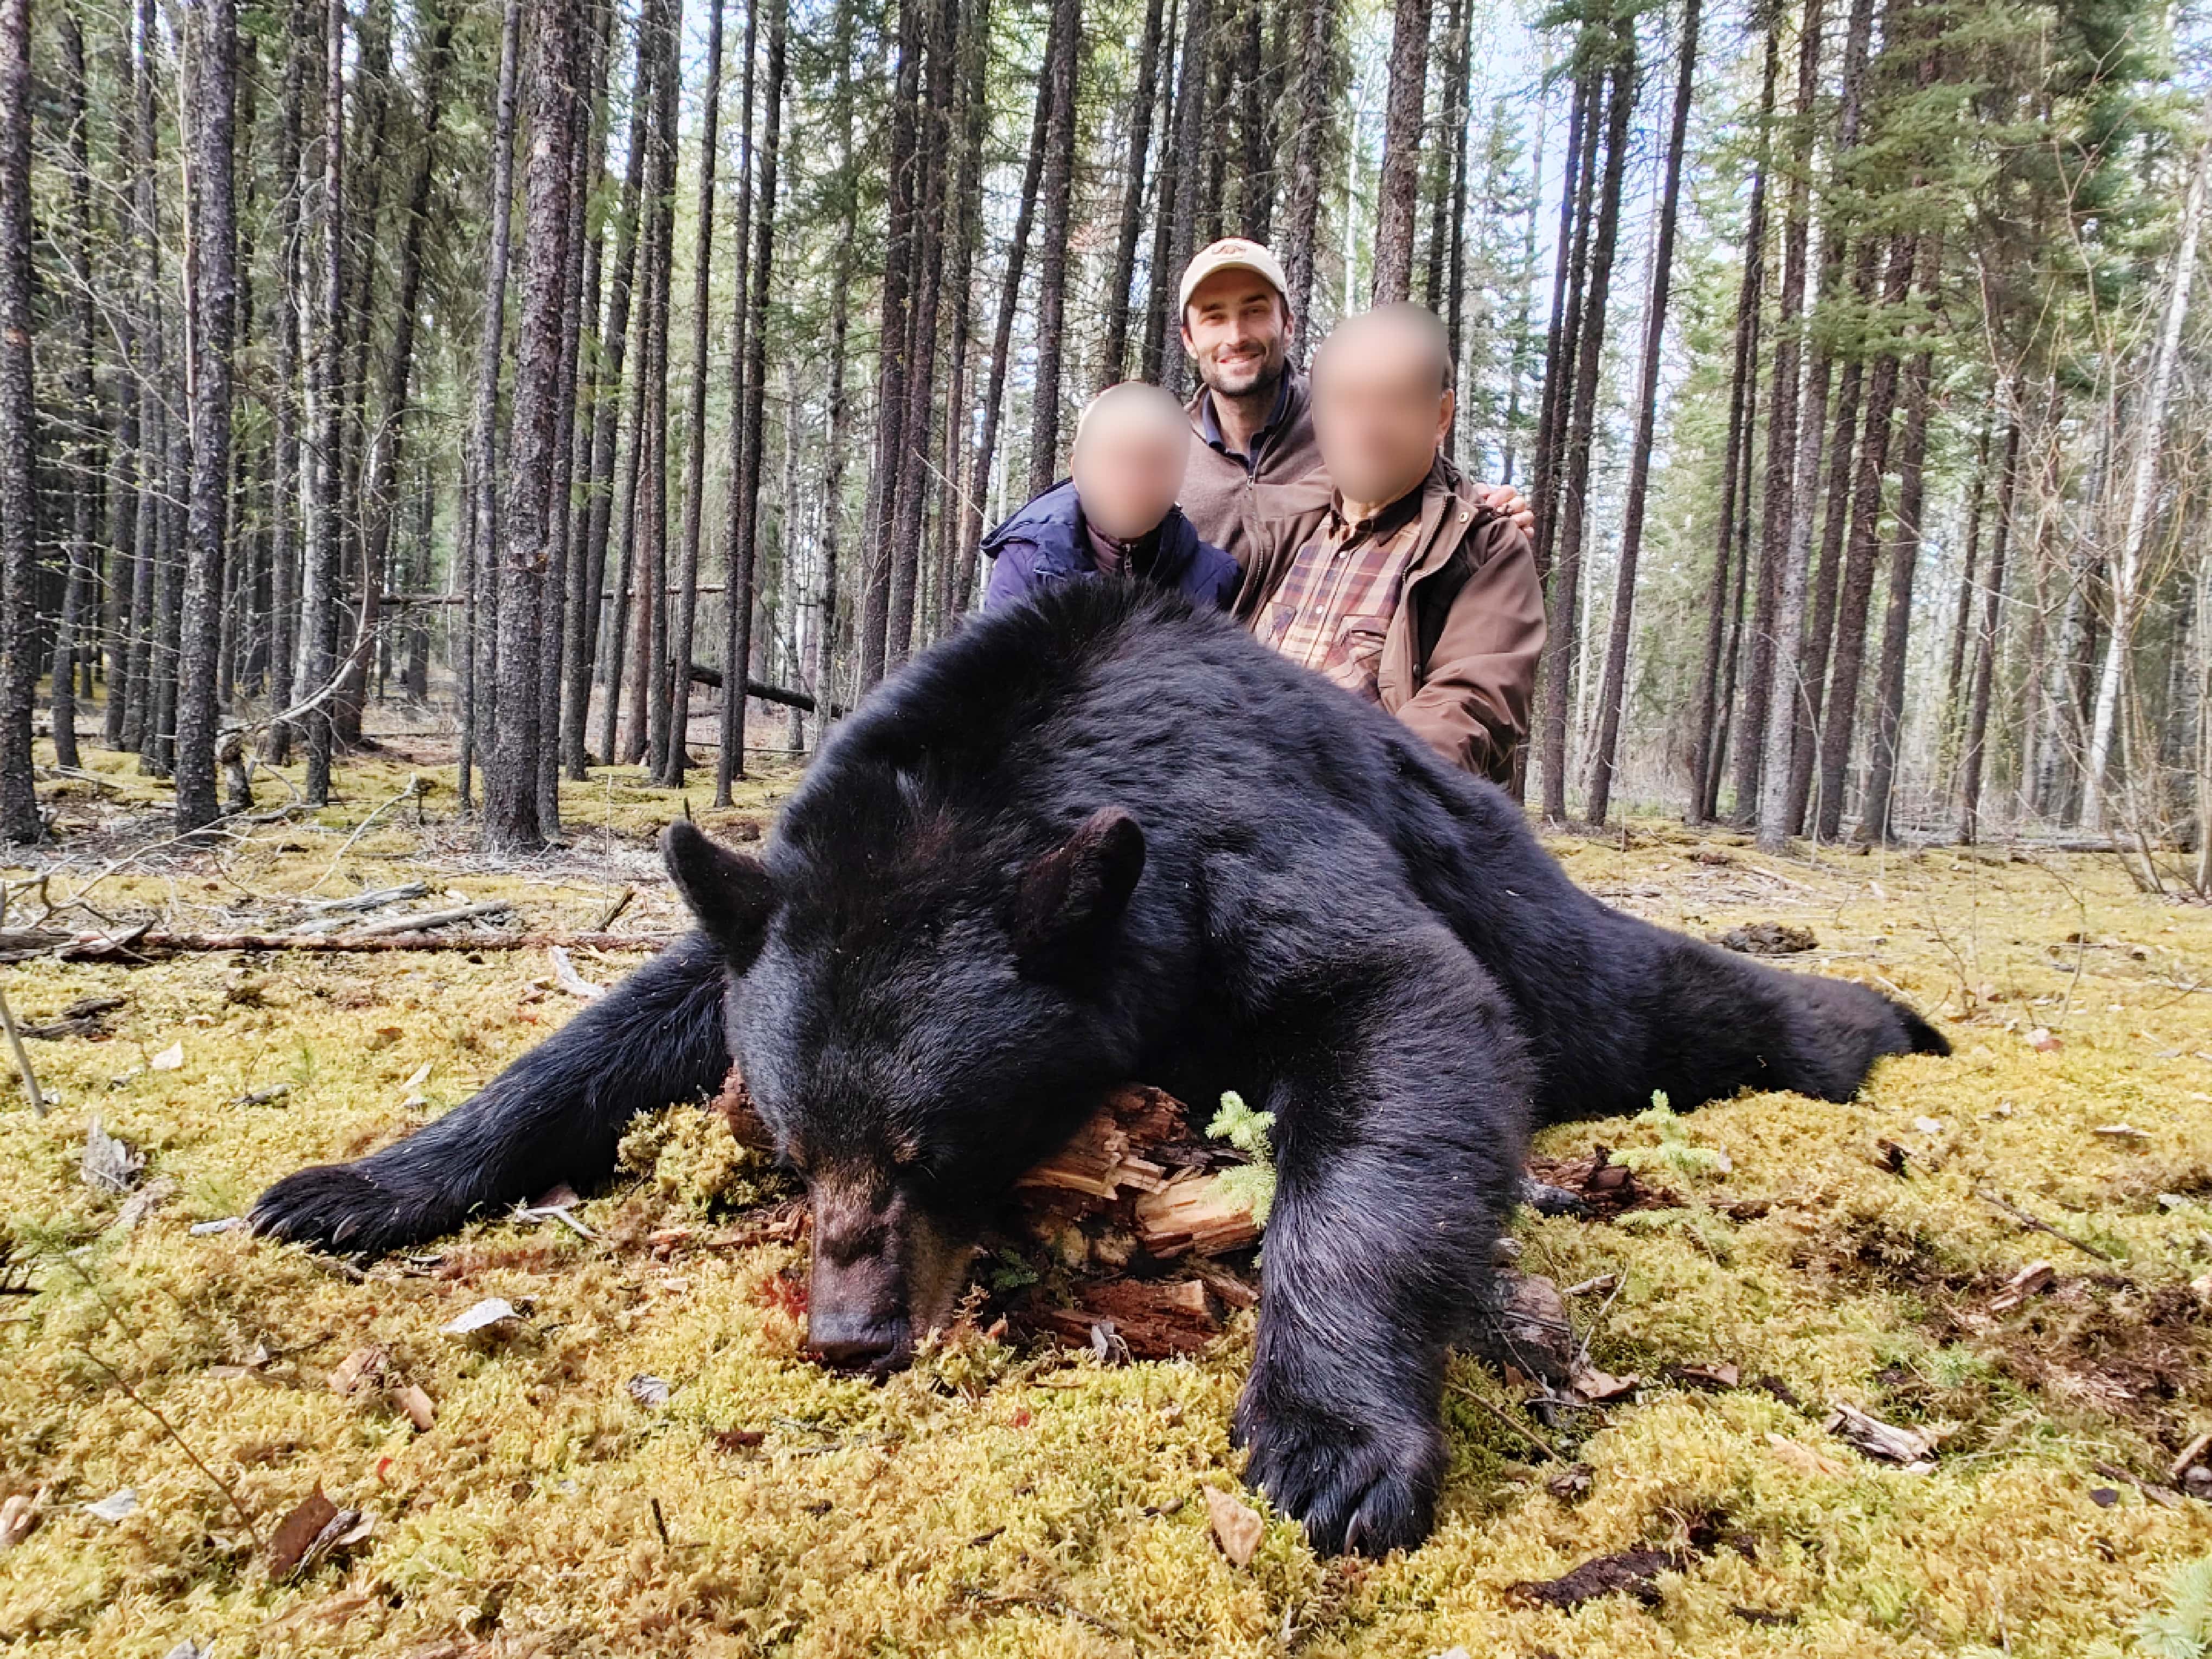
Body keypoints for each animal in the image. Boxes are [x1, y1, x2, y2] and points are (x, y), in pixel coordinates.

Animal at [253, 581, 1947, 1556]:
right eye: (795, 1150)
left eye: (931, 1146)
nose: (851, 1336)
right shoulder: (792, 909)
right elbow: (618, 1027)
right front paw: (354, 1185)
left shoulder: (1235, 841)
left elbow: (1401, 1009)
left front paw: (1331, 1443)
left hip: (1563, 942)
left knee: (1682, 1002)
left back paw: (1889, 1025)